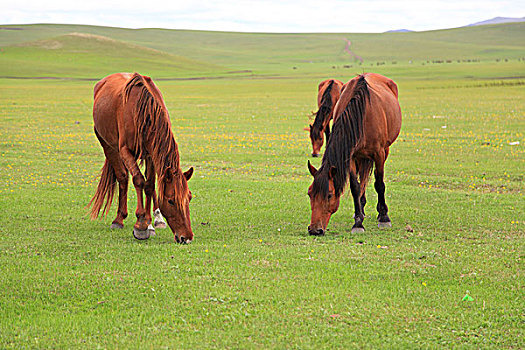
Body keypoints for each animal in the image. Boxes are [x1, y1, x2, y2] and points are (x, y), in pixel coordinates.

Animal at [88, 72, 194, 243]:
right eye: (171, 200)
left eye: (189, 198)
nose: (187, 237)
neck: (143, 111)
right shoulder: (125, 150)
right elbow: (138, 180)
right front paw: (141, 225)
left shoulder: (151, 153)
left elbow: (150, 185)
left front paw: (150, 223)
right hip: (107, 144)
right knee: (122, 177)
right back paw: (119, 219)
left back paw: (157, 219)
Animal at [308, 72, 402, 234]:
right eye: (310, 194)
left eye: (329, 195)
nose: (314, 229)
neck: (361, 114)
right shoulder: (350, 156)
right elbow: (355, 187)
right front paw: (358, 222)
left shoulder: (379, 153)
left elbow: (379, 184)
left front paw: (384, 218)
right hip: (360, 156)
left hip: (385, 149)